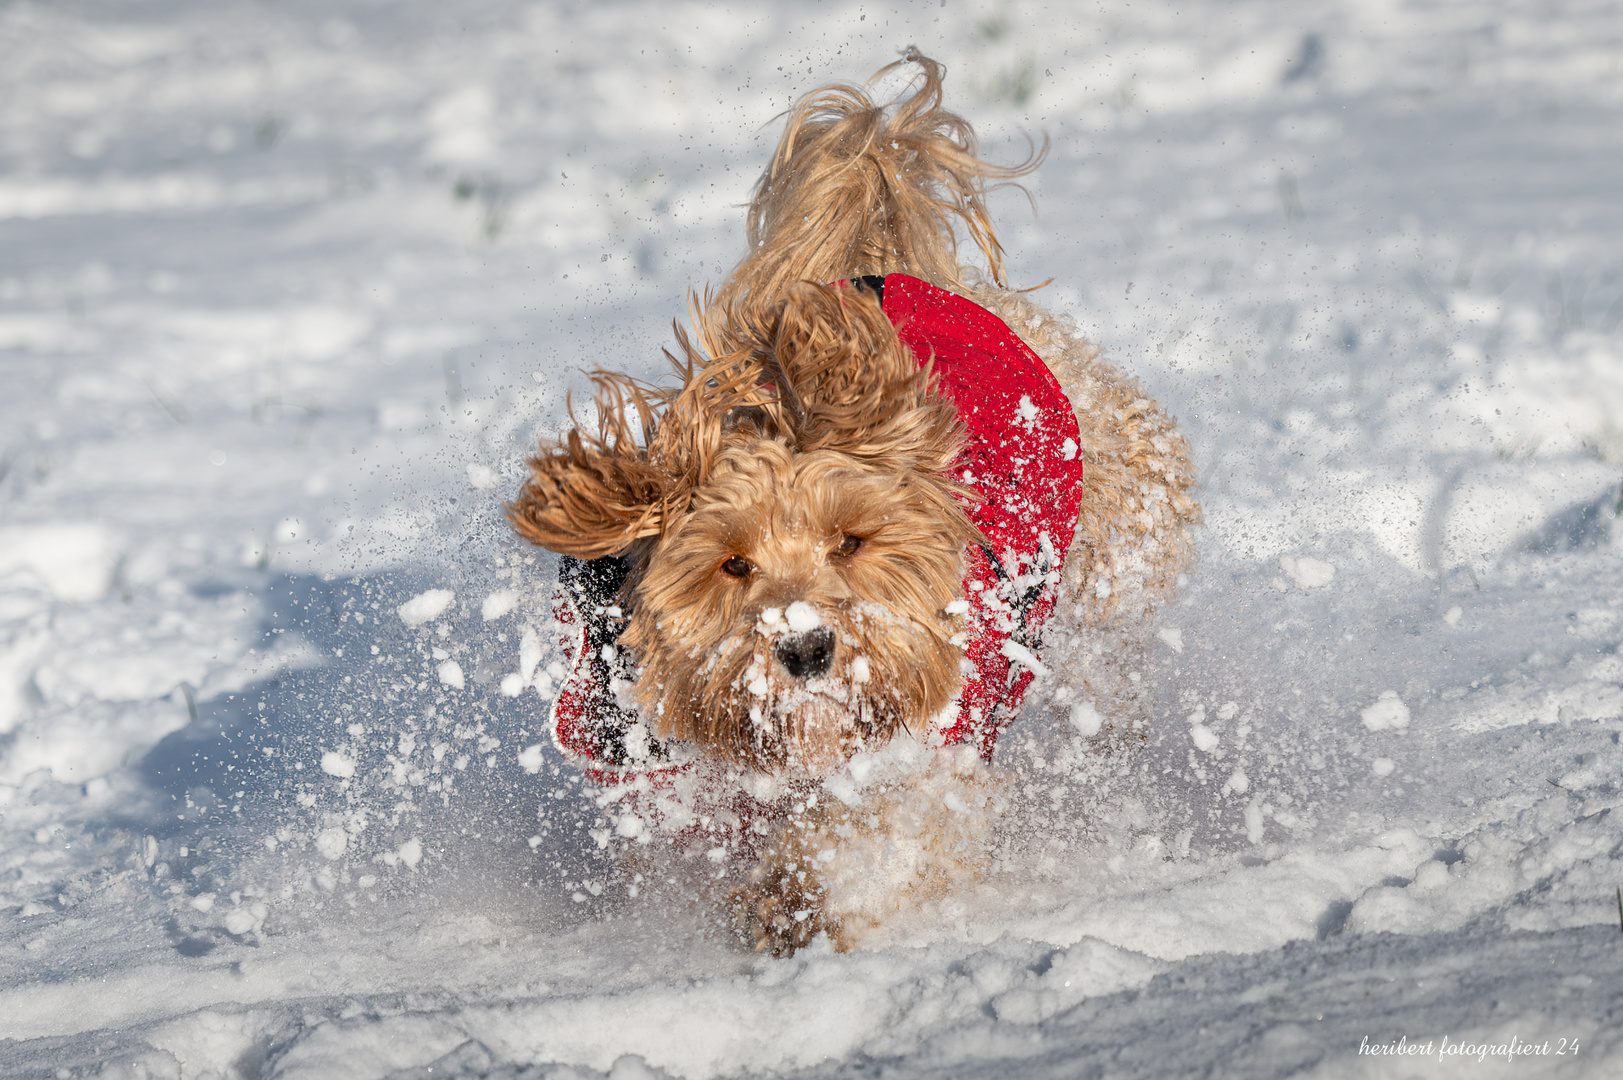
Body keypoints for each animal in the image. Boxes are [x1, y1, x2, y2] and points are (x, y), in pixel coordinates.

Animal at [512, 54, 1201, 954]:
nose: (806, 647)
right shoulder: (656, 787)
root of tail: (895, 273)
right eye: (730, 563)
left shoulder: (935, 765)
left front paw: (802, 895)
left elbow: (884, 836)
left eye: (849, 542)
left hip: (1117, 534)